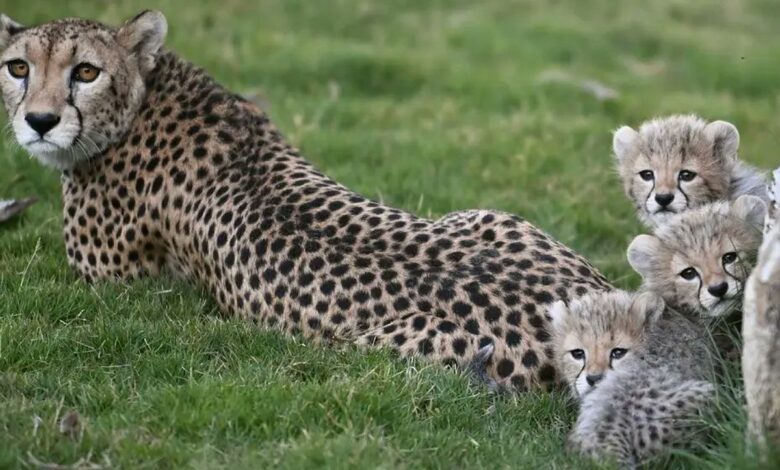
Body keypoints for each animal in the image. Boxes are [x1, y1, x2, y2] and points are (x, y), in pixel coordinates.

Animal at [0, 11, 610, 391]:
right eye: (18, 67)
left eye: (86, 71)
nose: (39, 121)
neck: (148, 93)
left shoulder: (112, 286)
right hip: (492, 216)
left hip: (377, 350)